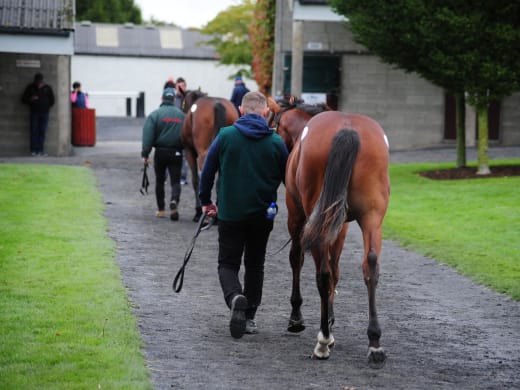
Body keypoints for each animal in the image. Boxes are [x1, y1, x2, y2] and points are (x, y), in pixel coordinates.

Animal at [180, 89, 239, 221]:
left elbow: (196, 180)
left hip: (203, 153)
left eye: (182, 103)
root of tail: (217, 104)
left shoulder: (189, 151)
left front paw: (197, 212)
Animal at [268, 97, 390, 368]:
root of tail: (348, 130)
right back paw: (374, 342)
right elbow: (336, 270)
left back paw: (322, 341)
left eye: (273, 125)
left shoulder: (297, 214)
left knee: (322, 273)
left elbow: (298, 259)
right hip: (372, 217)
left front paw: (298, 318)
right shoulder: (340, 223)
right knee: (370, 266)